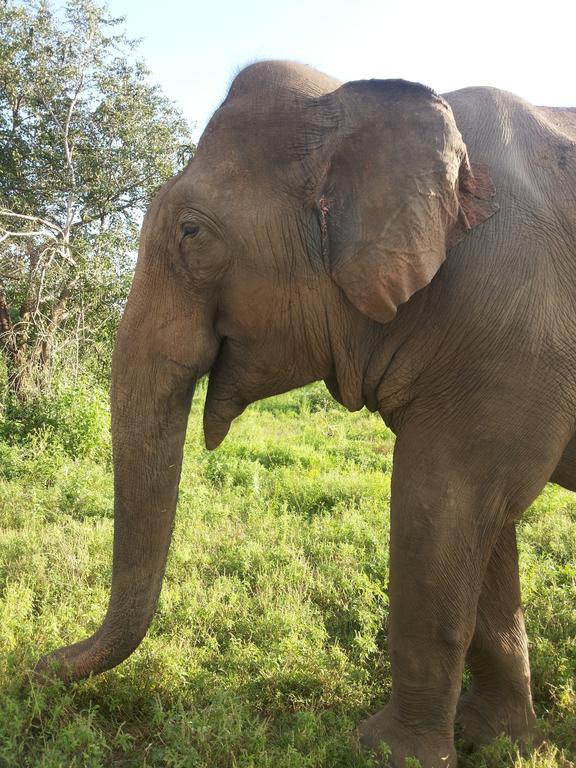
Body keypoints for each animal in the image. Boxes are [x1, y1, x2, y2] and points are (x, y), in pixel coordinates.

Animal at [33, 61, 572, 768]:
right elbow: (486, 523)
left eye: (191, 233)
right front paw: (498, 740)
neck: (357, 101)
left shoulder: (512, 329)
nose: (36, 666)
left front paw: (384, 752)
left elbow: (442, 506)